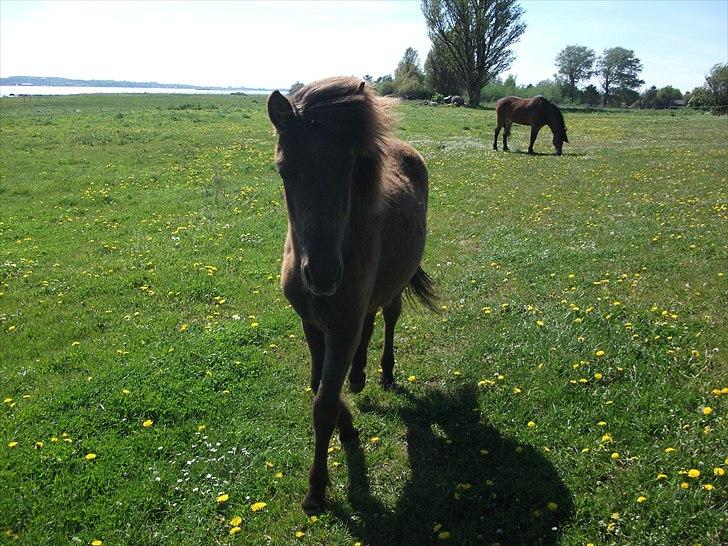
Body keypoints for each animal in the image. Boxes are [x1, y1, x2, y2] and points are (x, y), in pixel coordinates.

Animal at [268, 76, 436, 516]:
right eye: (283, 171)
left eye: (346, 168)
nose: (323, 274)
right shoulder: (312, 323)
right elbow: (318, 384)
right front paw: (348, 425)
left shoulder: (341, 327)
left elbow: (324, 402)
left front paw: (316, 490)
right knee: (372, 318)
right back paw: (358, 376)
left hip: (395, 281)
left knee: (389, 315)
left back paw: (383, 373)